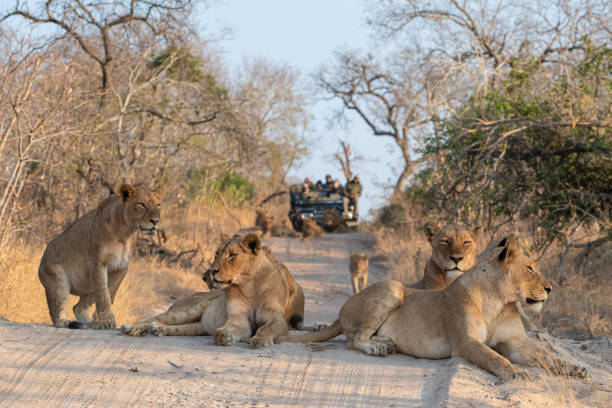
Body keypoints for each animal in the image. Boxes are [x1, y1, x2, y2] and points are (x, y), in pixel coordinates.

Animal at [37, 183, 163, 330]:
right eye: (141, 204)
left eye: (158, 204)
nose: (155, 221)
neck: (125, 233)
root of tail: (40, 267)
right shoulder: (97, 263)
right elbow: (103, 295)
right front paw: (107, 322)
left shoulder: (121, 268)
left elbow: (110, 293)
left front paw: (100, 320)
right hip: (57, 279)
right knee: (58, 314)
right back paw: (69, 322)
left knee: (77, 308)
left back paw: (89, 323)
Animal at [120, 233, 306, 348]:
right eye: (217, 253)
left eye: (232, 255)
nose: (211, 271)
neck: (249, 286)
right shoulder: (238, 321)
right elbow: (225, 330)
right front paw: (224, 336)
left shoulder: (277, 319)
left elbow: (267, 328)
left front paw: (260, 340)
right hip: (188, 310)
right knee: (156, 317)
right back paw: (132, 327)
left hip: (197, 327)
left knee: (174, 326)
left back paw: (158, 329)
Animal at [278, 236, 588, 382]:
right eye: (530, 268)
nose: (550, 289)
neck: (499, 300)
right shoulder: (466, 342)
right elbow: (495, 358)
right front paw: (517, 373)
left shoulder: (515, 342)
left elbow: (545, 355)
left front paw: (574, 367)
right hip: (393, 286)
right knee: (354, 339)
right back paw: (378, 347)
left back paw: (386, 341)